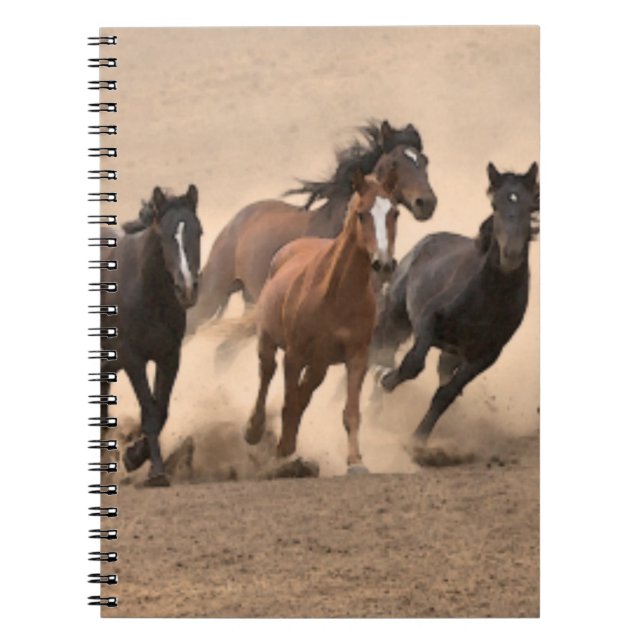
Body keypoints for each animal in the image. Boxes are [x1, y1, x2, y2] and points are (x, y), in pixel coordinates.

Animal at [100, 185, 202, 486]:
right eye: (166, 235)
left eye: (199, 232)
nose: (187, 289)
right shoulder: (133, 359)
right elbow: (148, 410)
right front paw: (156, 472)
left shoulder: (169, 357)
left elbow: (161, 410)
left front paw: (135, 456)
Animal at [244, 167, 400, 474]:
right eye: (361, 214)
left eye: (395, 212)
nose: (384, 264)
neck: (336, 295)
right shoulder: (293, 355)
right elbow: (288, 402)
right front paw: (282, 453)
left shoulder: (357, 356)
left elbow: (350, 411)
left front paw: (356, 462)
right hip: (269, 342)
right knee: (266, 374)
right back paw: (255, 430)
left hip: (319, 364)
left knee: (304, 393)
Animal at [374, 162, 539, 458]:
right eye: (495, 204)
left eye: (531, 205)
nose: (511, 255)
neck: (488, 297)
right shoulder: (427, 320)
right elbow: (412, 364)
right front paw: (385, 379)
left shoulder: (485, 356)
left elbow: (446, 393)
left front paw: (418, 441)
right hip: (396, 316)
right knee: (384, 350)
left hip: (452, 351)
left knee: (441, 374)